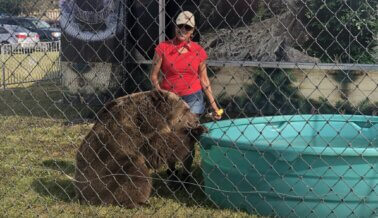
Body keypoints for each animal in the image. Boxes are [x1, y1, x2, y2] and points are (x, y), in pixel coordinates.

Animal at [74, 90, 207, 208]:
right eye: (187, 109)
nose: (196, 120)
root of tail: (83, 196)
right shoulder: (137, 134)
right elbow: (161, 149)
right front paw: (195, 131)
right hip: (108, 173)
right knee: (135, 174)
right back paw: (137, 202)